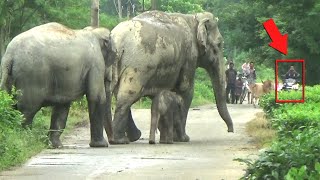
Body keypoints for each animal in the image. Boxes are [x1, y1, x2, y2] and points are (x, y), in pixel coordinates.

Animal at [111, 10, 234, 144]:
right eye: (219, 44)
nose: (230, 131)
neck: (194, 18)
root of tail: (118, 39)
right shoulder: (190, 56)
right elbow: (186, 91)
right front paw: (183, 139)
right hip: (137, 67)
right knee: (127, 96)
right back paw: (119, 140)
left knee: (118, 94)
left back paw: (133, 137)